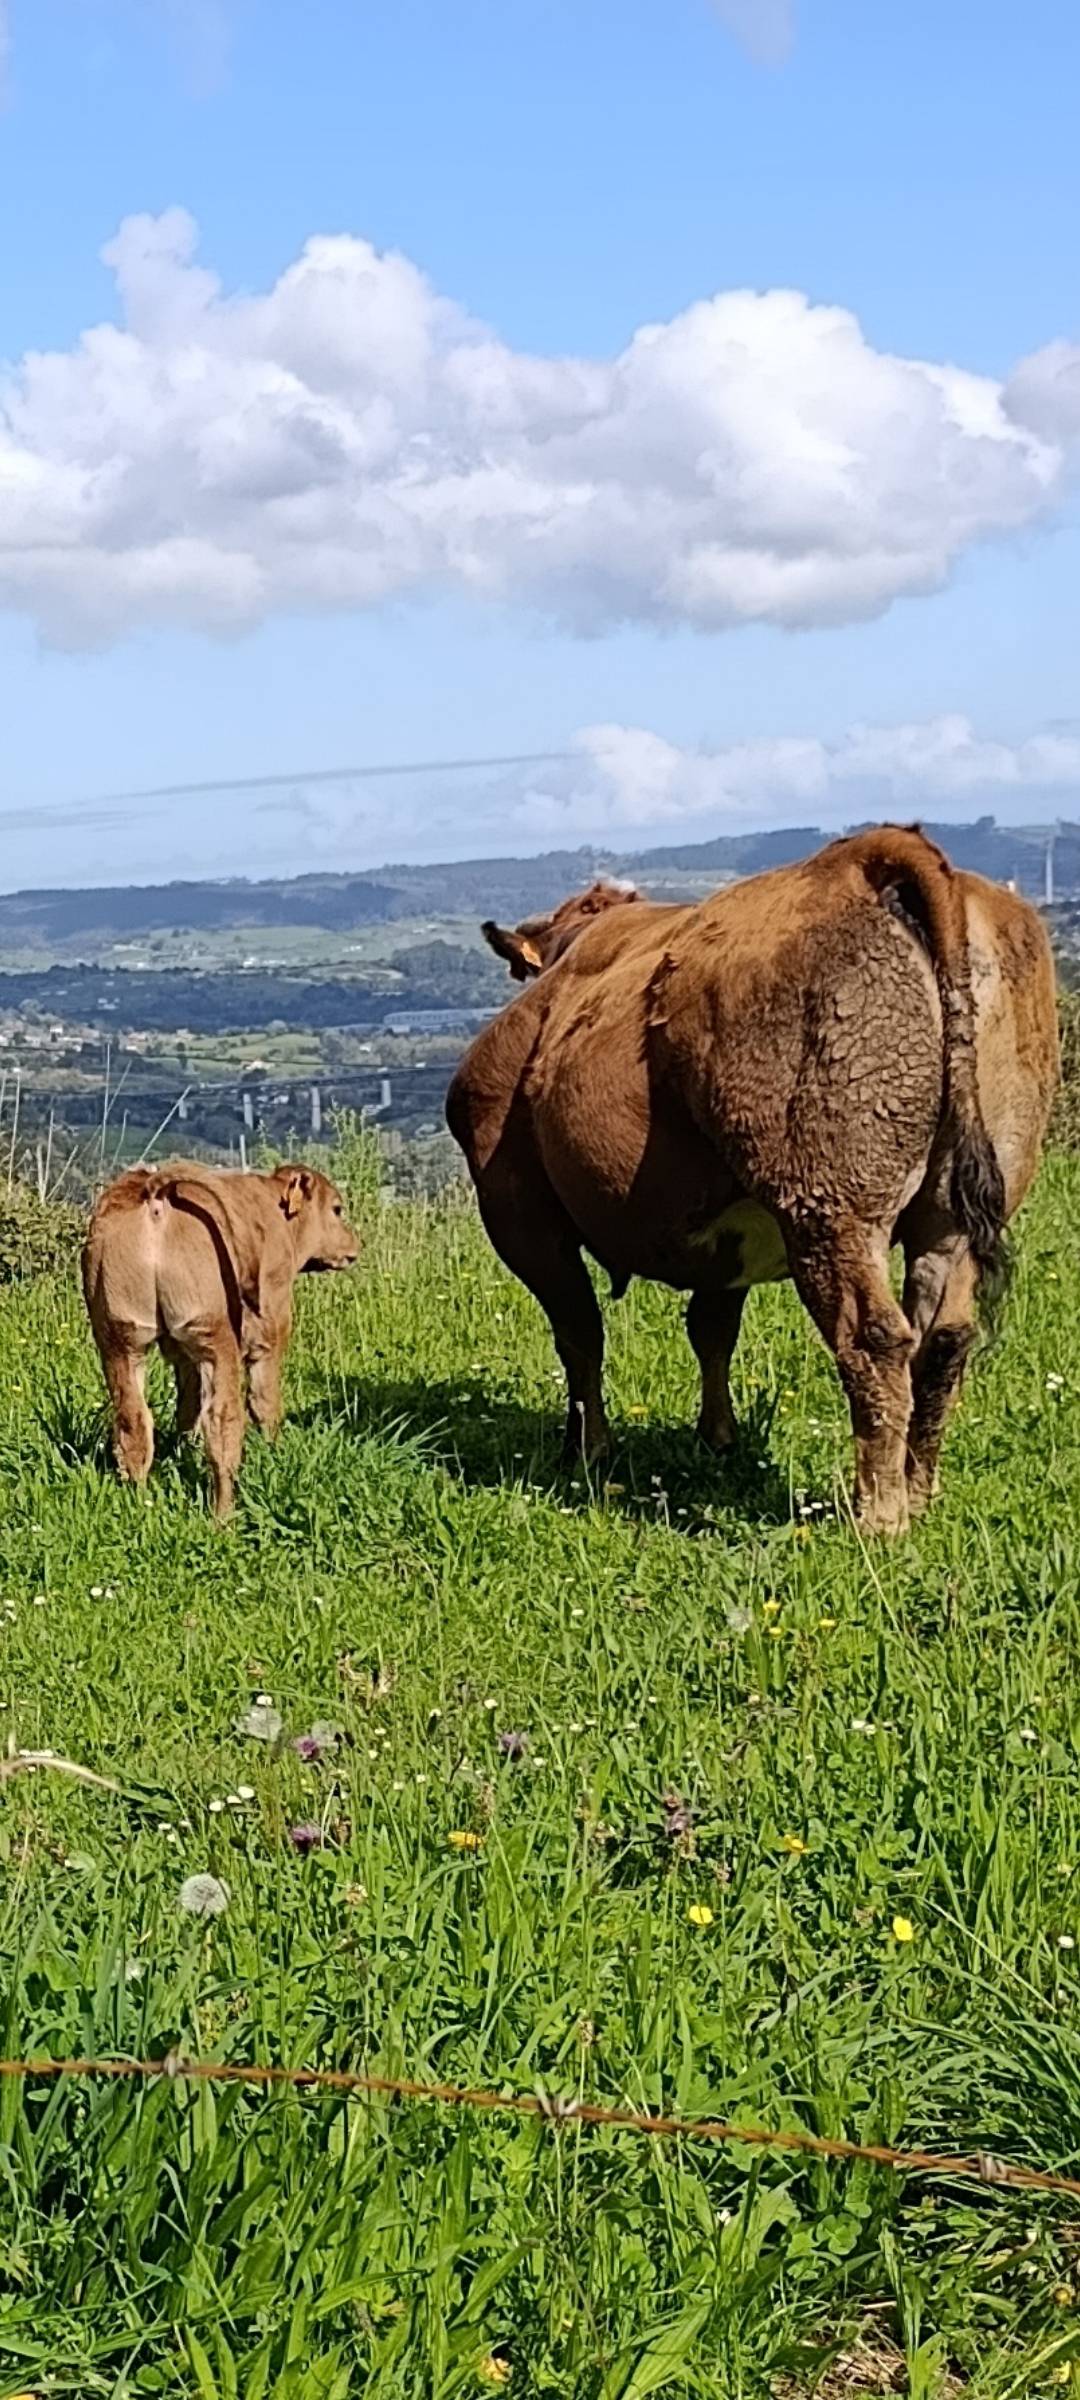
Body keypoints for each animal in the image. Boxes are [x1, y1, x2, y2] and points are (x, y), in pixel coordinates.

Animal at [82, 1161, 359, 1516]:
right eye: (337, 1209)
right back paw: (224, 1515)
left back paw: (139, 1504)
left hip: (119, 1339)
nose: (353, 1245)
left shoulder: (182, 1356)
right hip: (216, 1339)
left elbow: (187, 1408)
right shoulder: (269, 1332)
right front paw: (276, 1454)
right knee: (223, 1421)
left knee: (133, 1423)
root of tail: (155, 1194)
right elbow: (264, 1404)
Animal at [449, 827, 1058, 1535]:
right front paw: (718, 1438)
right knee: (944, 1337)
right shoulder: (724, 1245)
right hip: (958, 1203)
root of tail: (866, 855)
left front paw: (585, 1452)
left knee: (874, 1337)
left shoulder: (520, 1213)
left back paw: (877, 1516)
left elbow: (580, 1335)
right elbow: (711, 1330)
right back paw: (917, 1492)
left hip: (829, 1202)